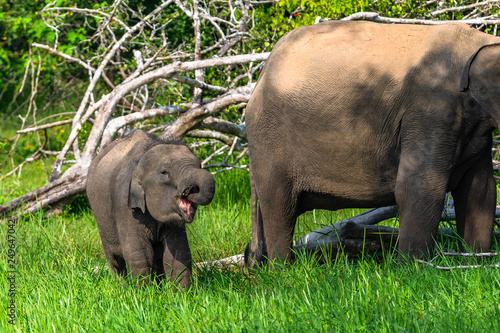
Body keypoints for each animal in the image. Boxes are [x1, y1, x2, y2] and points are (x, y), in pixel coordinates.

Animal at [86, 130, 215, 288]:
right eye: (164, 172)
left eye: (200, 165)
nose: (191, 189)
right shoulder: (124, 205)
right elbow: (139, 253)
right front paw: (143, 292)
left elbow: (178, 252)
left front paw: (181, 293)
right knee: (114, 258)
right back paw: (120, 286)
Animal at [245, 19, 500, 266]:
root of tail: (262, 75)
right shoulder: (432, 112)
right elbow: (419, 187)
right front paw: (414, 270)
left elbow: (480, 191)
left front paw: (475, 263)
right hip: (270, 139)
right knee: (280, 207)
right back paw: (282, 271)